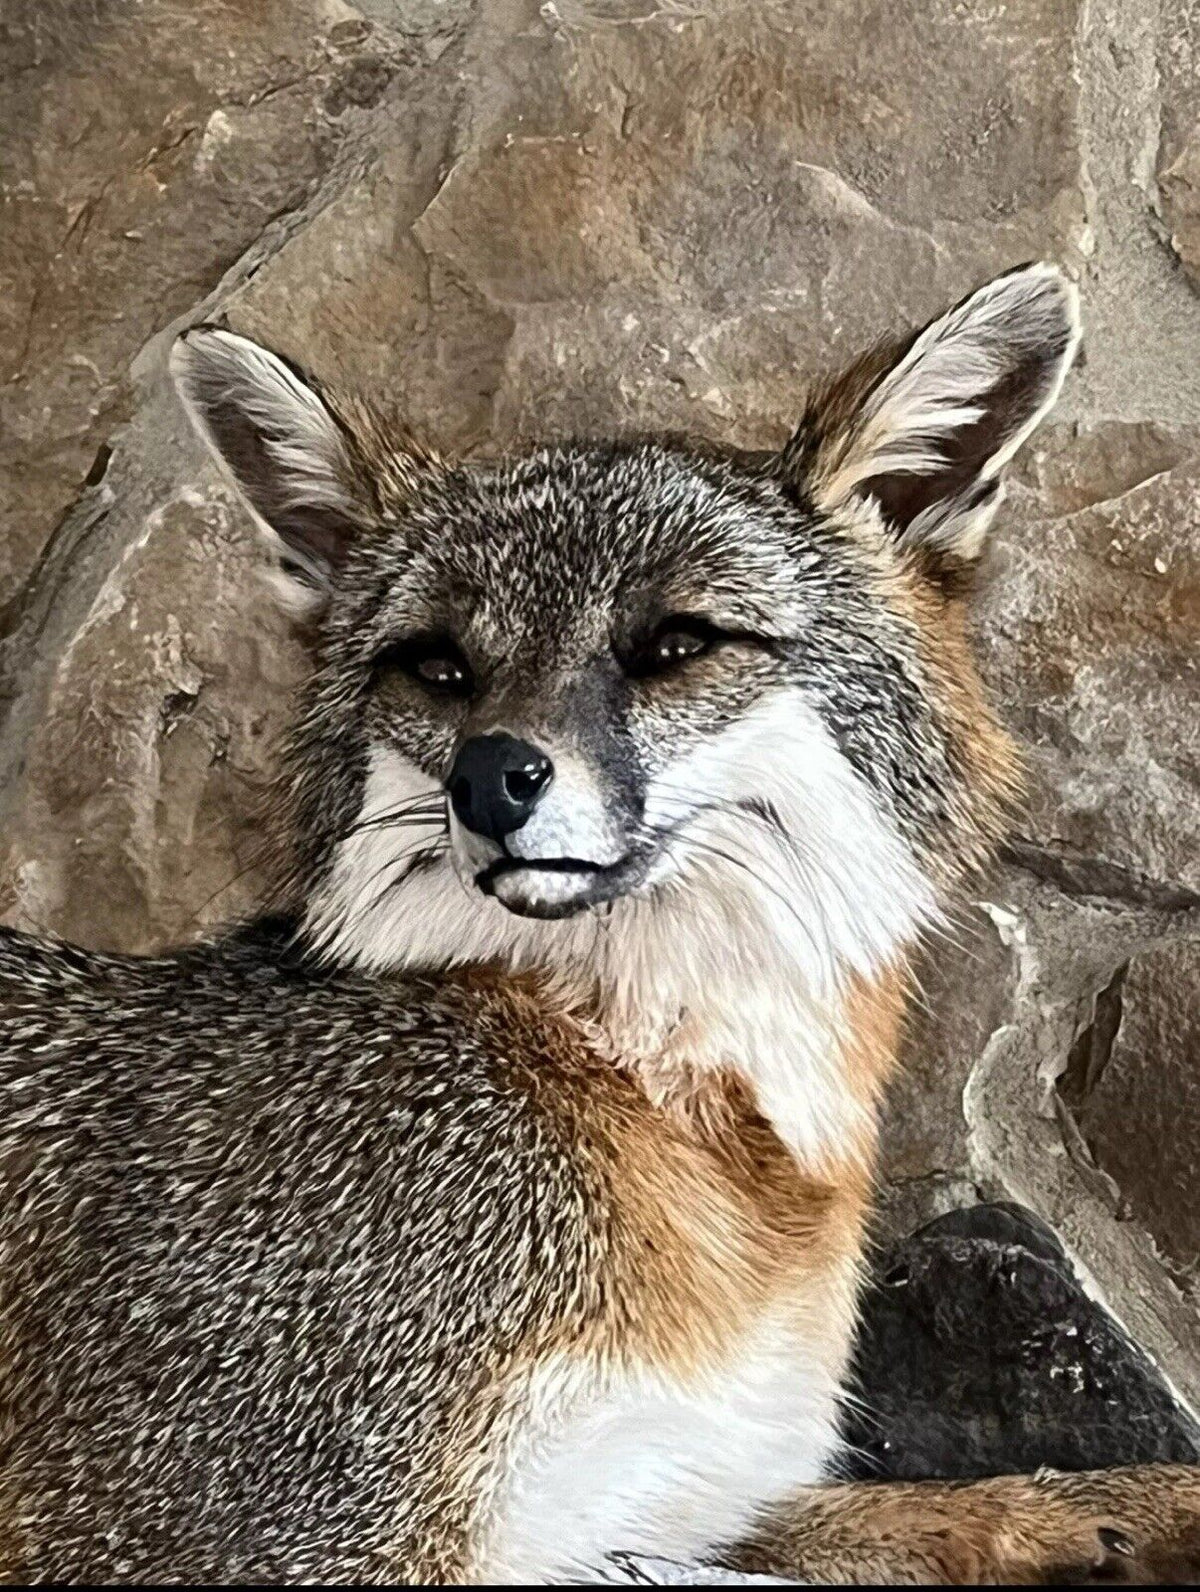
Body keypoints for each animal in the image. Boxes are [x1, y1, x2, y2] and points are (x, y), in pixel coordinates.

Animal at [0, 261, 1198, 1584]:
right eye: (438, 667)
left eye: (675, 643)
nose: (490, 777)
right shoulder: (257, 1535)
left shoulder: (672, 1501)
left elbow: (947, 1509)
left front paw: (1113, 1510)